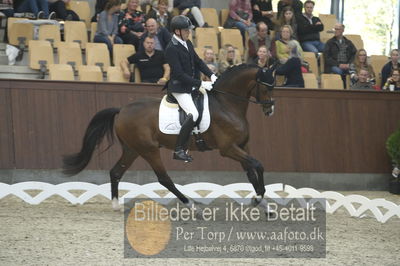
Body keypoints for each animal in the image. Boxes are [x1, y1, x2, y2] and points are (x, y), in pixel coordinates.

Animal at [63, 64, 276, 210]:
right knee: (164, 178)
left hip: (132, 149)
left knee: (116, 172)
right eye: (267, 88)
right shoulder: (228, 148)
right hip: (149, 150)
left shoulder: (242, 145)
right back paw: (191, 205)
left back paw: (116, 205)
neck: (227, 104)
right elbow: (258, 165)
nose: (270, 110)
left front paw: (262, 203)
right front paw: (259, 197)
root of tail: (122, 110)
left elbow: (251, 171)